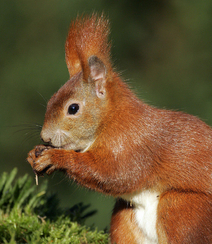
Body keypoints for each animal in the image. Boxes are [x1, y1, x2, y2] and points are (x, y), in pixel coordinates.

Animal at [26, 14, 212, 243]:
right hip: (124, 218)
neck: (111, 120)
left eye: (73, 108)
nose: (45, 137)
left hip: (184, 209)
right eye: (51, 99)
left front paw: (56, 157)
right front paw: (33, 154)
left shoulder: (133, 145)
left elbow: (115, 174)